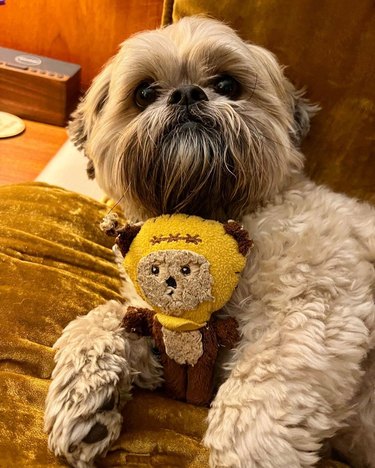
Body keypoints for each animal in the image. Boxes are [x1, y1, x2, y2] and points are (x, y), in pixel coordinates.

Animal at [44, 15, 375, 468]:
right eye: (144, 93)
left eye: (228, 85)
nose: (187, 93)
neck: (208, 215)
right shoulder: (164, 330)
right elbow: (106, 317)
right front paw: (85, 399)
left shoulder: (317, 306)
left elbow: (261, 388)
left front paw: (246, 454)